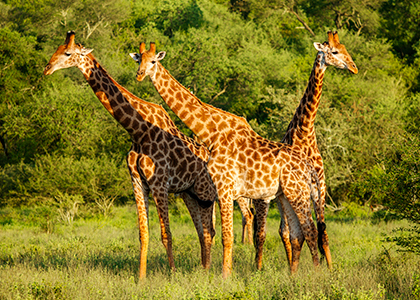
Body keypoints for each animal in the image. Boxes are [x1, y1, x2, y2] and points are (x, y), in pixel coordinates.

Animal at [44, 32, 218, 278]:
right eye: (57, 49)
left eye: (68, 53)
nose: (47, 68)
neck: (138, 131)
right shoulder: (137, 181)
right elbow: (143, 234)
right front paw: (141, 278)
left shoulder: (159, 183)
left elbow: (166, 234)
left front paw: (172, 274)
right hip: (190, 194)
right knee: (203, 231)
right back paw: (203, 270)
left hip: (206, 193)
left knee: (210, 231)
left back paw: (207, 271)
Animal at [131, 42, 324, 276]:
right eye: (139, 60)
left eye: (153, 61)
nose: (140, 75)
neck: (212, 132)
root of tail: (309, 166)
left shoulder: (225, 187)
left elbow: (226, 236)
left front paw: (225, 276)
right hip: (286, 194)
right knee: (299, 233)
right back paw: (293, 275)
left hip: (298, 193)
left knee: (311, 230)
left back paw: (316, 274)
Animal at [278, 30, 358, 270]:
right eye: (334, 52)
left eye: (344, 48)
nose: (354, 68)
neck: (305, 131)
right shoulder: (305, 187)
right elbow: (305, 231)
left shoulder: (320, 185)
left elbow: (322, 228)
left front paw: (329, 269)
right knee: (284, 231)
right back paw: (289, 266)